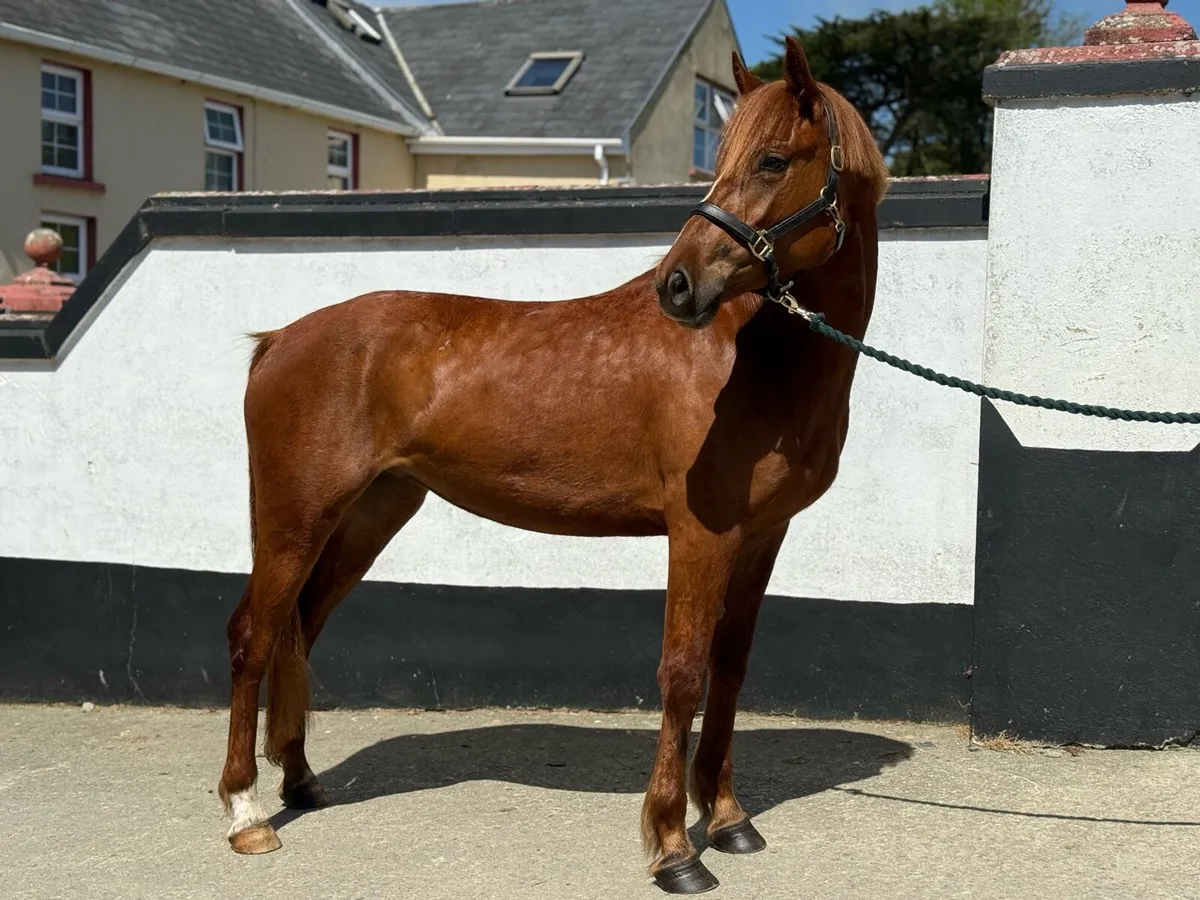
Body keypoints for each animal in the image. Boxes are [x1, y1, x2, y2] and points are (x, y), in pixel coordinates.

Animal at [216, 37, 889, 894]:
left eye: (773, 159)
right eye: (725, 158)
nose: (677, 284)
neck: (753, 357)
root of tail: (280, 339)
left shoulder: (762, 536)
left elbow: (731, 667)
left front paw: (730, 819)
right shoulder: (700, 533)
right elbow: (683, 673)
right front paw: (673, 846)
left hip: (371, 513)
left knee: (300, 627)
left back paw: (301, 780)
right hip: (296, 517)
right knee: (253, 635)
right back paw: (246, 814)